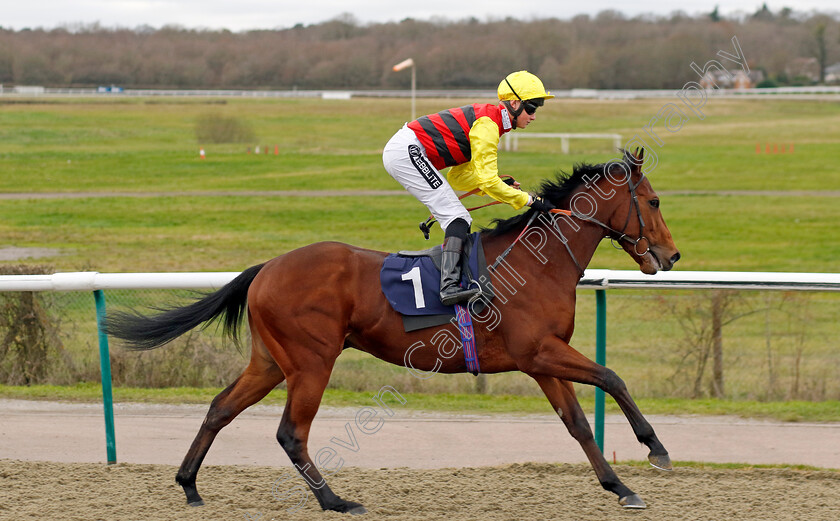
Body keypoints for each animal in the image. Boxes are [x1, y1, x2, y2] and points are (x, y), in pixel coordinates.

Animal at [106, 147, 684, 512]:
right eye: (654, 202)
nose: (671, 256)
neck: (538, 262)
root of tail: (267, 267)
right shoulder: (539, 352)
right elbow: (611, 378)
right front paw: (655, 450)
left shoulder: (541, 359)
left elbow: (578, 424)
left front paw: (619, 487)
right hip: (312, 362)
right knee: (291, 432)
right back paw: (335, 501)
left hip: (270, 362)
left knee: (220, 408)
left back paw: (189, 486)